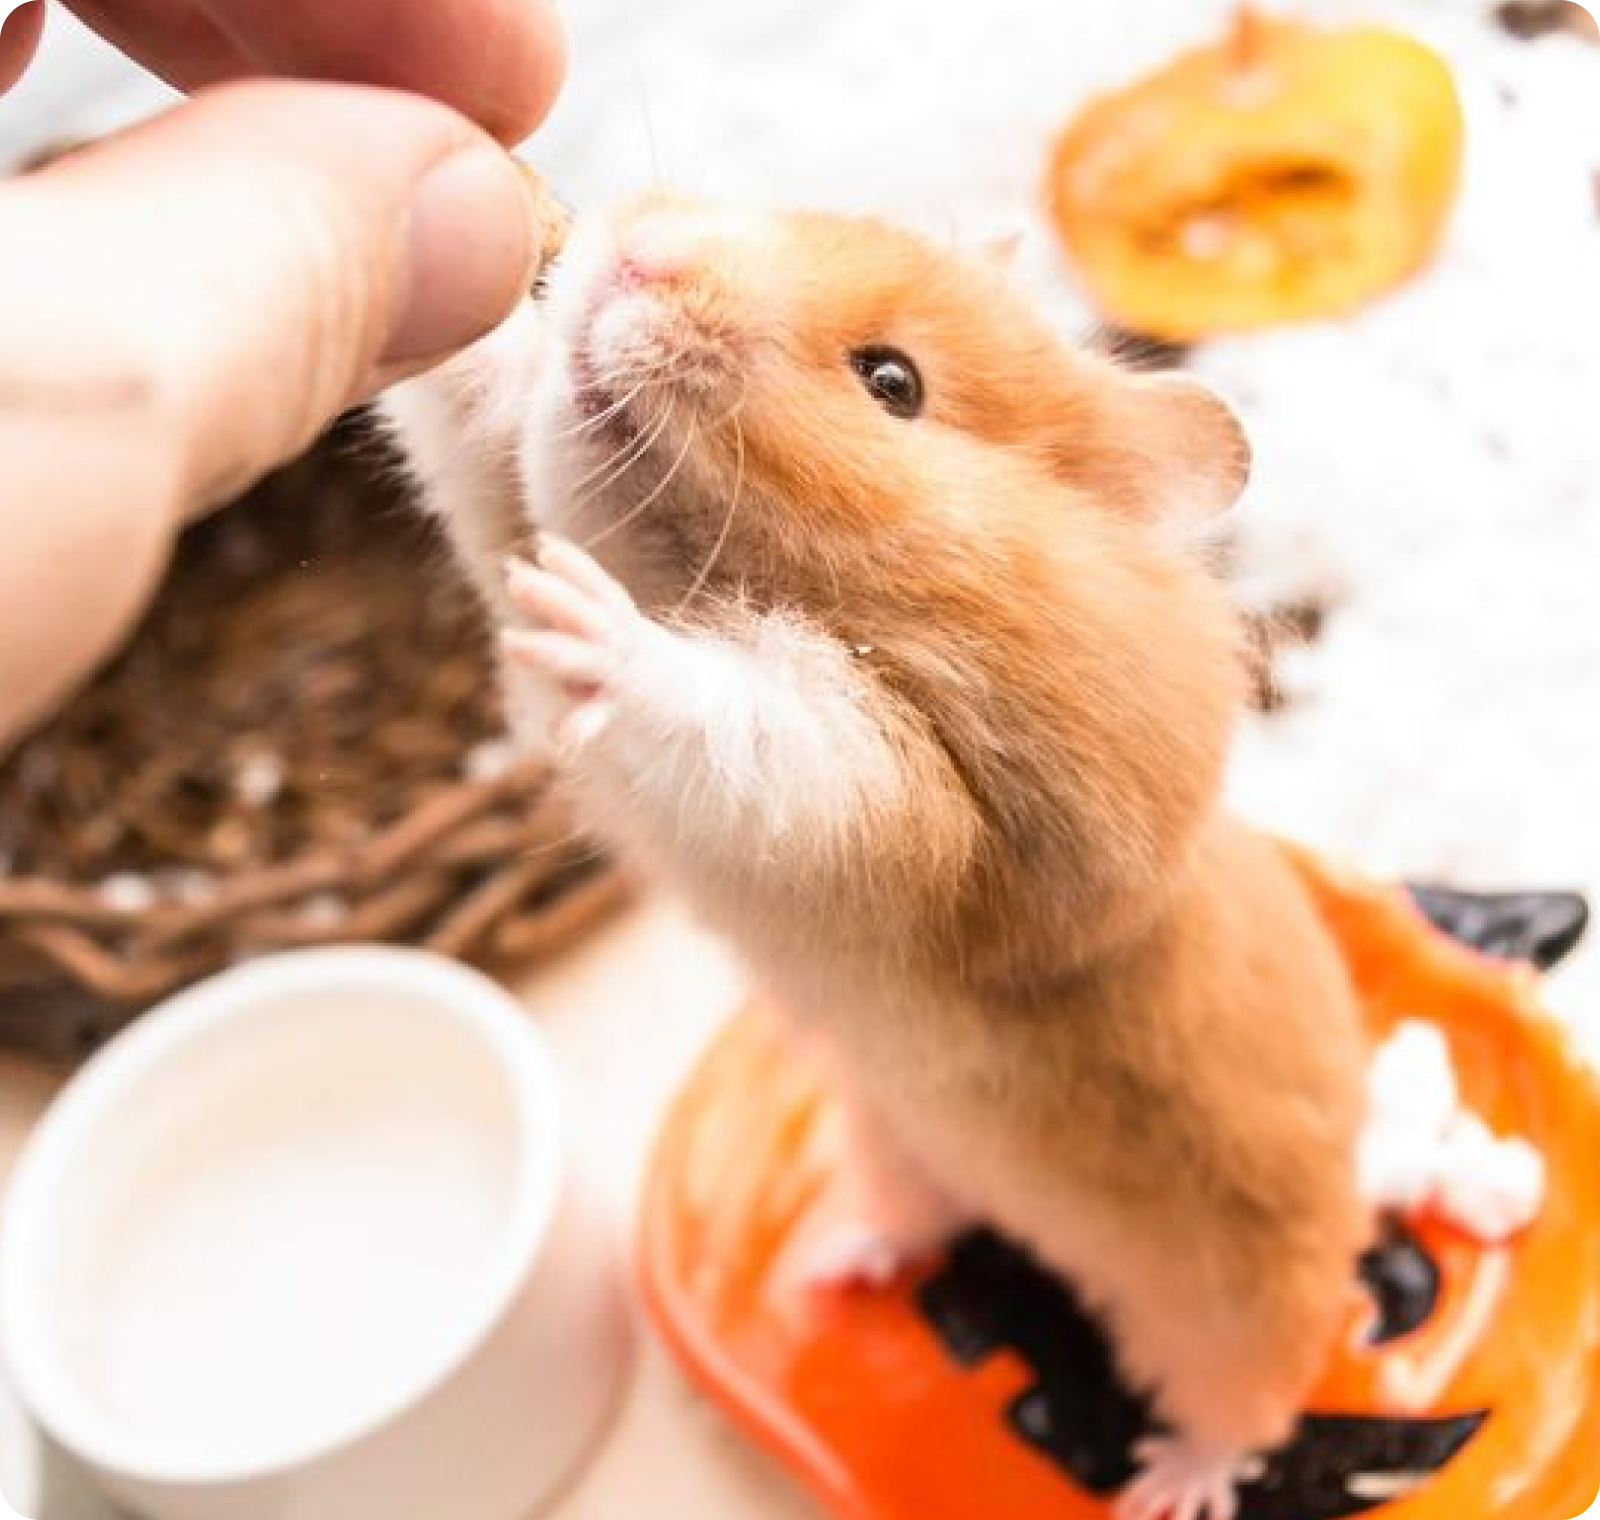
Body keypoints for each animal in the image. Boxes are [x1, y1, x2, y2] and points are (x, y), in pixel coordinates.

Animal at [380, 190, 1369, 1520]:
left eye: (891, 381)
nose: (644, 250)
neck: (676, 562)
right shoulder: (501, 517)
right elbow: (477, 412)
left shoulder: (903, 805)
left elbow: (744, 717)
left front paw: (594, 638)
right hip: (896, 1135)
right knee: (916, 1220)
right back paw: (829, 1260)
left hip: (1237, 1309)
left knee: (1250, 1402)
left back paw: (1170, 1482)